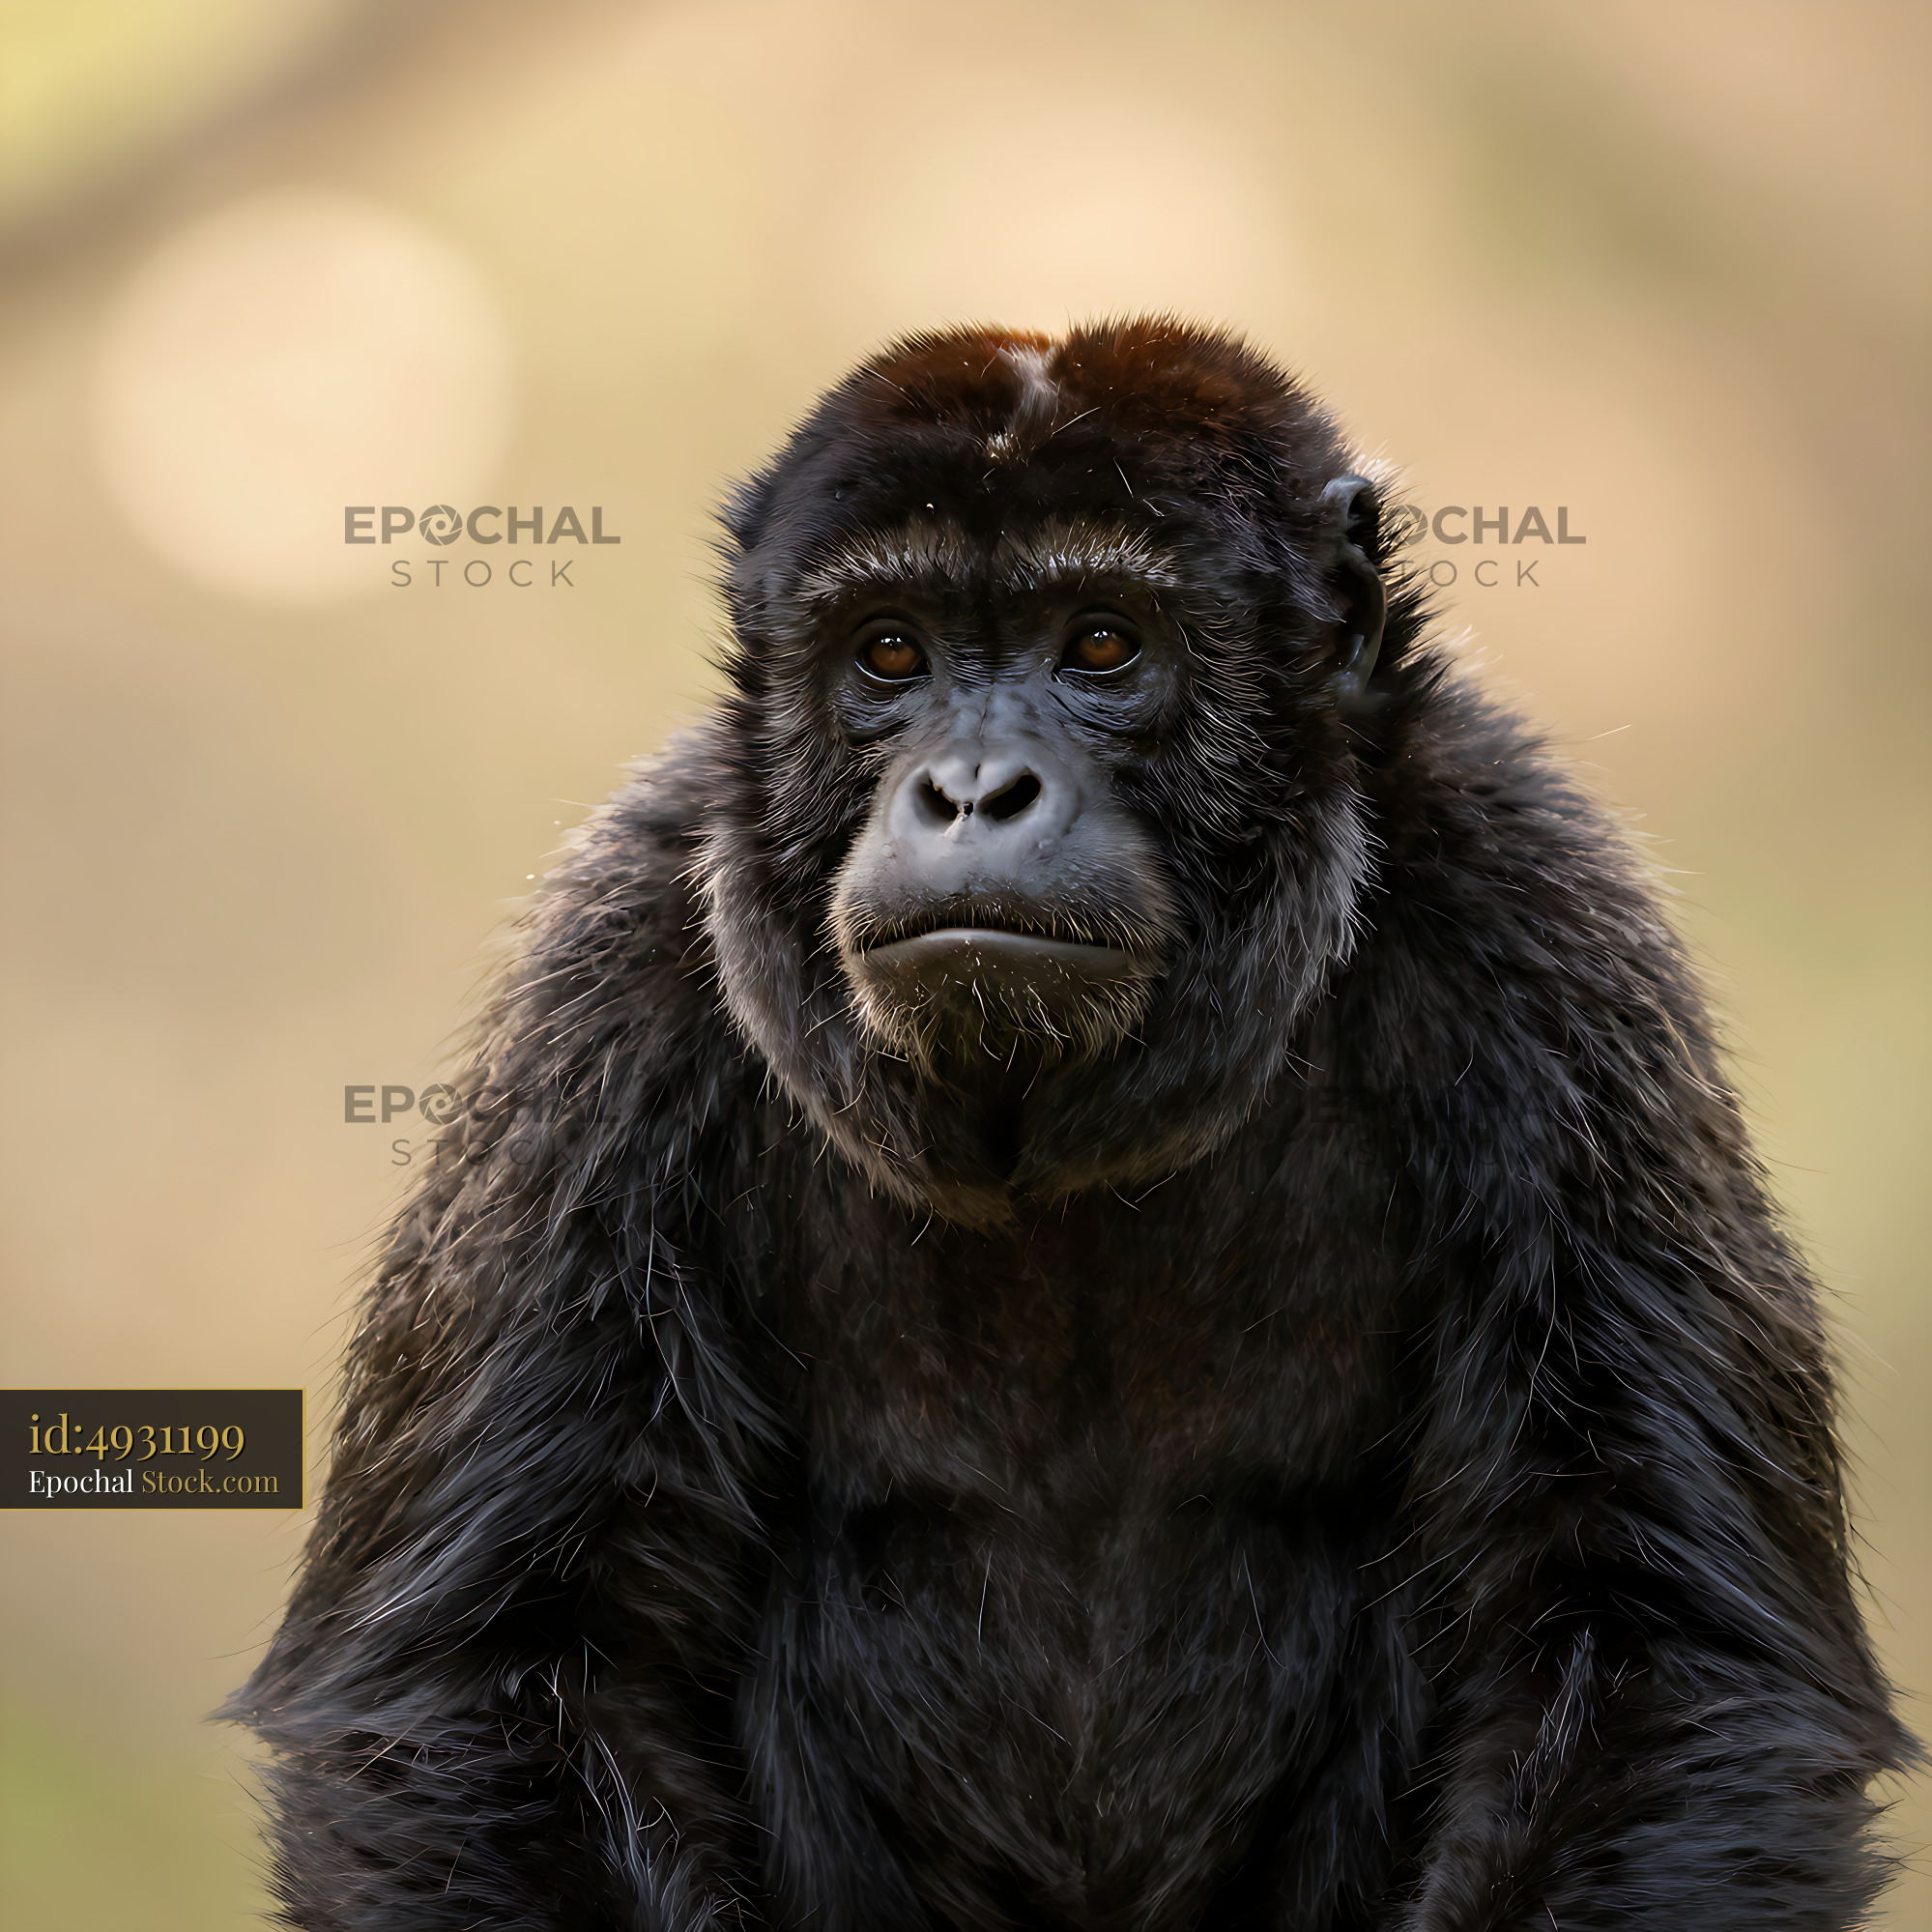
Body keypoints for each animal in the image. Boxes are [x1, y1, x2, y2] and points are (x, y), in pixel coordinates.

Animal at [232, 318, 1910, 1930]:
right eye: (888, 650)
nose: (971, 787)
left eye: (1101, 641)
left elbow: (1657, 1655)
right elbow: (486, 1678)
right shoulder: (614, 979)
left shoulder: (1542, 930)